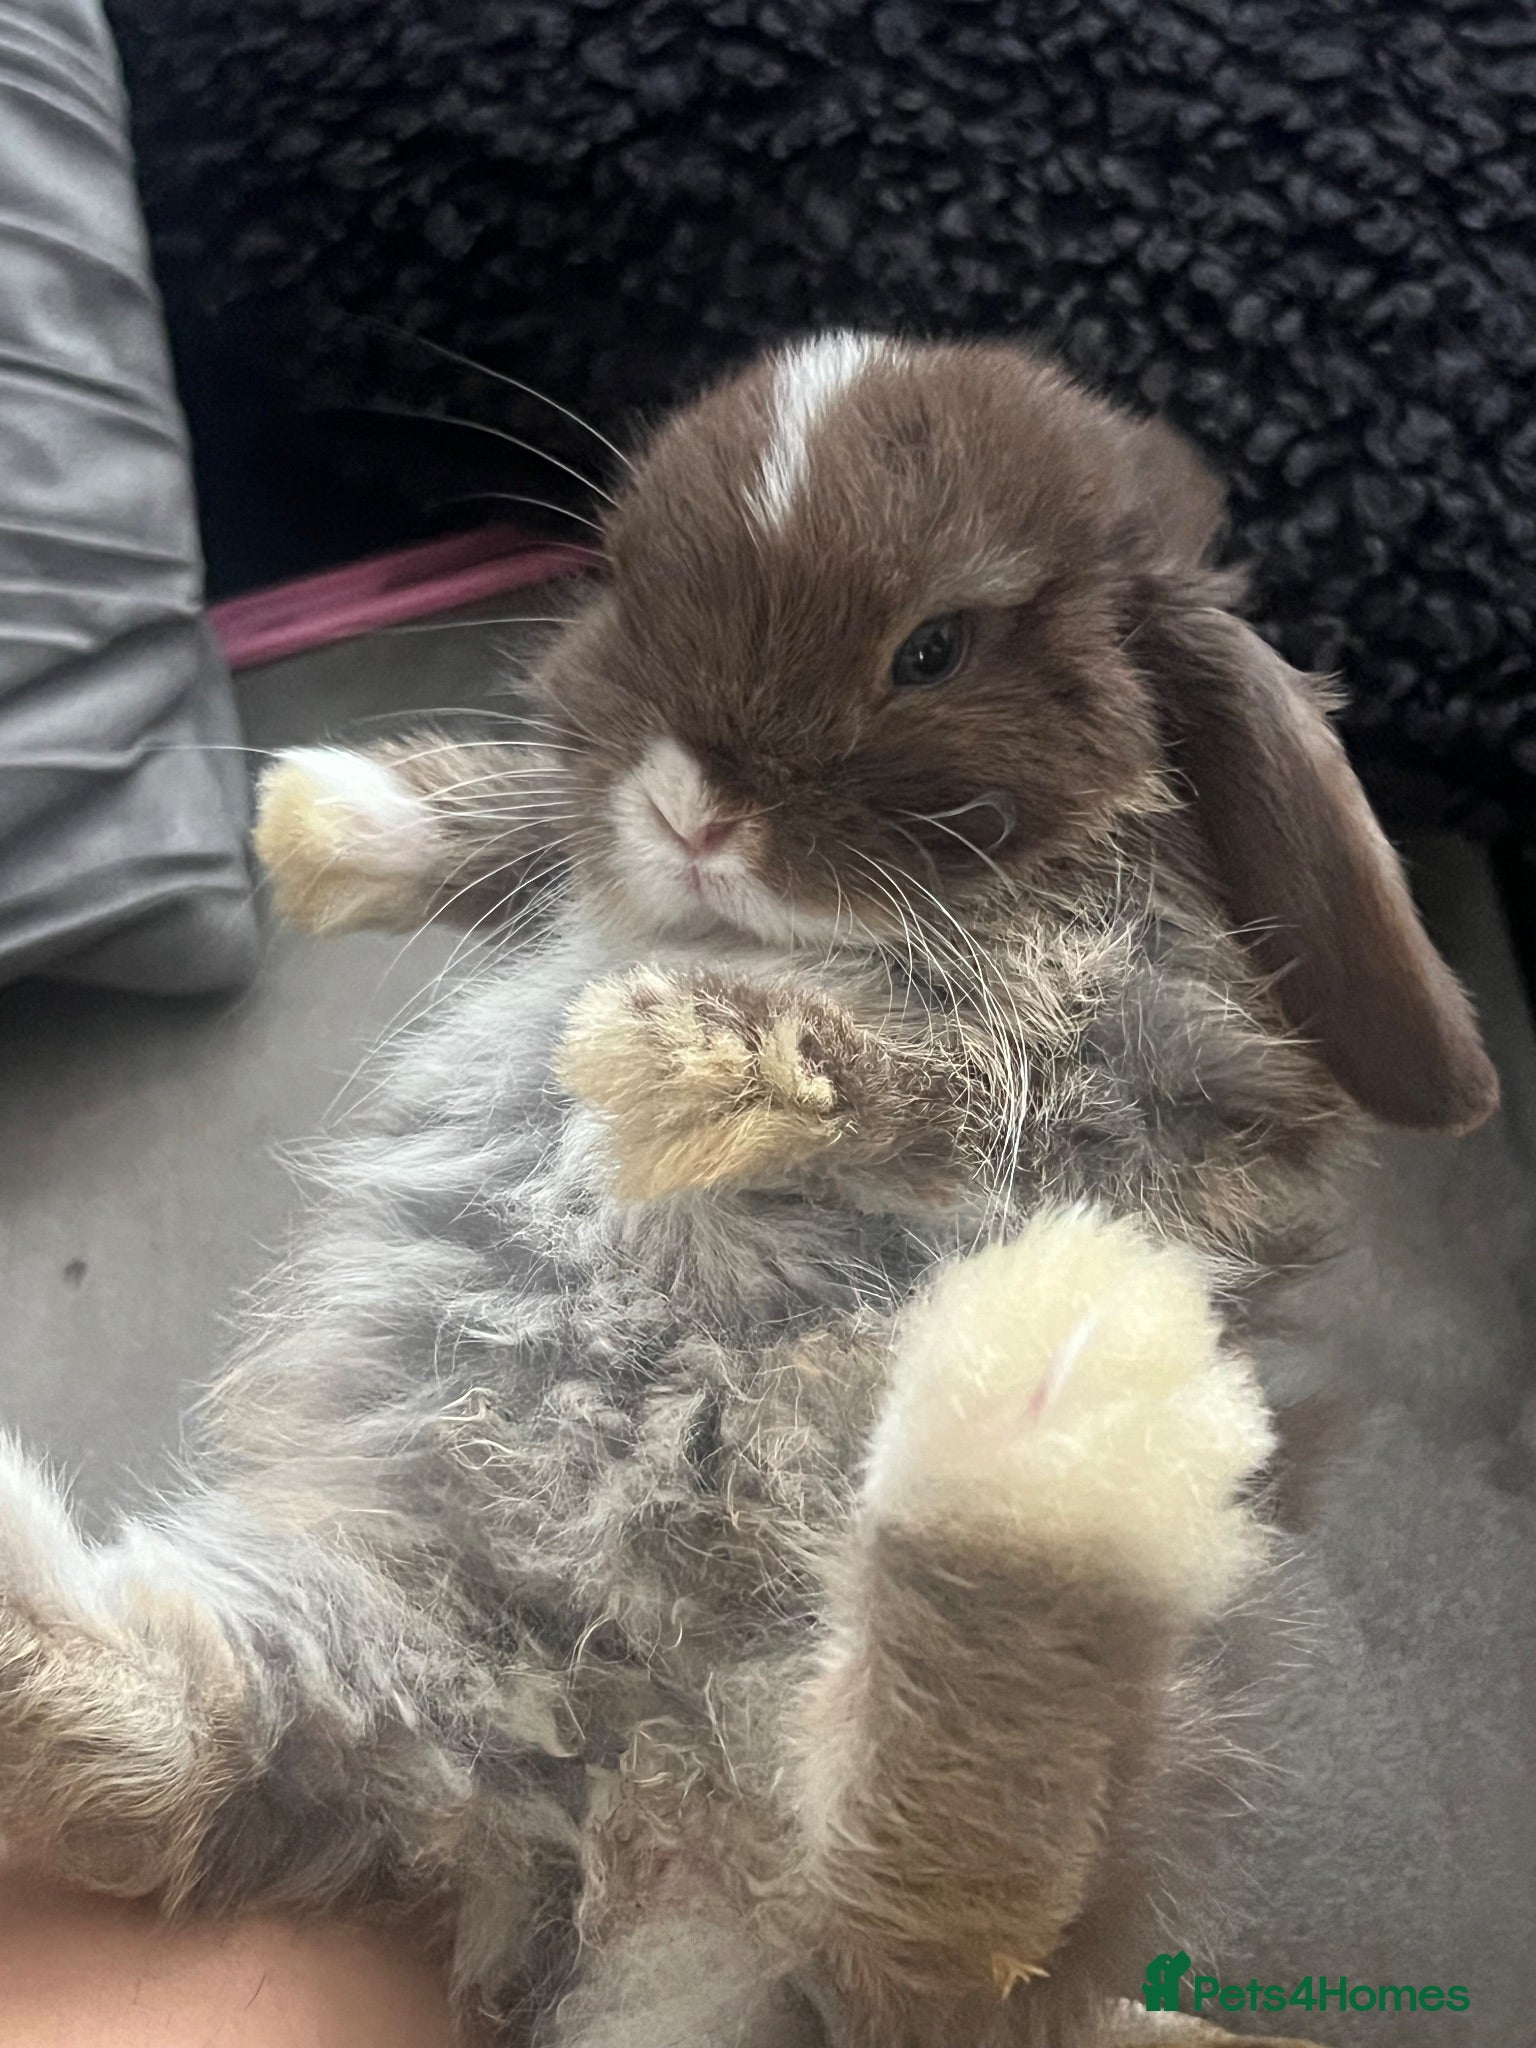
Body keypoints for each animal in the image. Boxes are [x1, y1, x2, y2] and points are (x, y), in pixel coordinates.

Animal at [0, 334, 1495, 2048]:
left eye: (934, 648)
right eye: (622, 582)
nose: (692, 814)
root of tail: (629, 1845)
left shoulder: (1090, 1042)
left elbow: (925, 1065)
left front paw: (656, 1056)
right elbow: (531, 833)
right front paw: (322, 828)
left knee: (934, 1904)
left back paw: (1054, 1414)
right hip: (370, 1672)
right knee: (158, 1752)